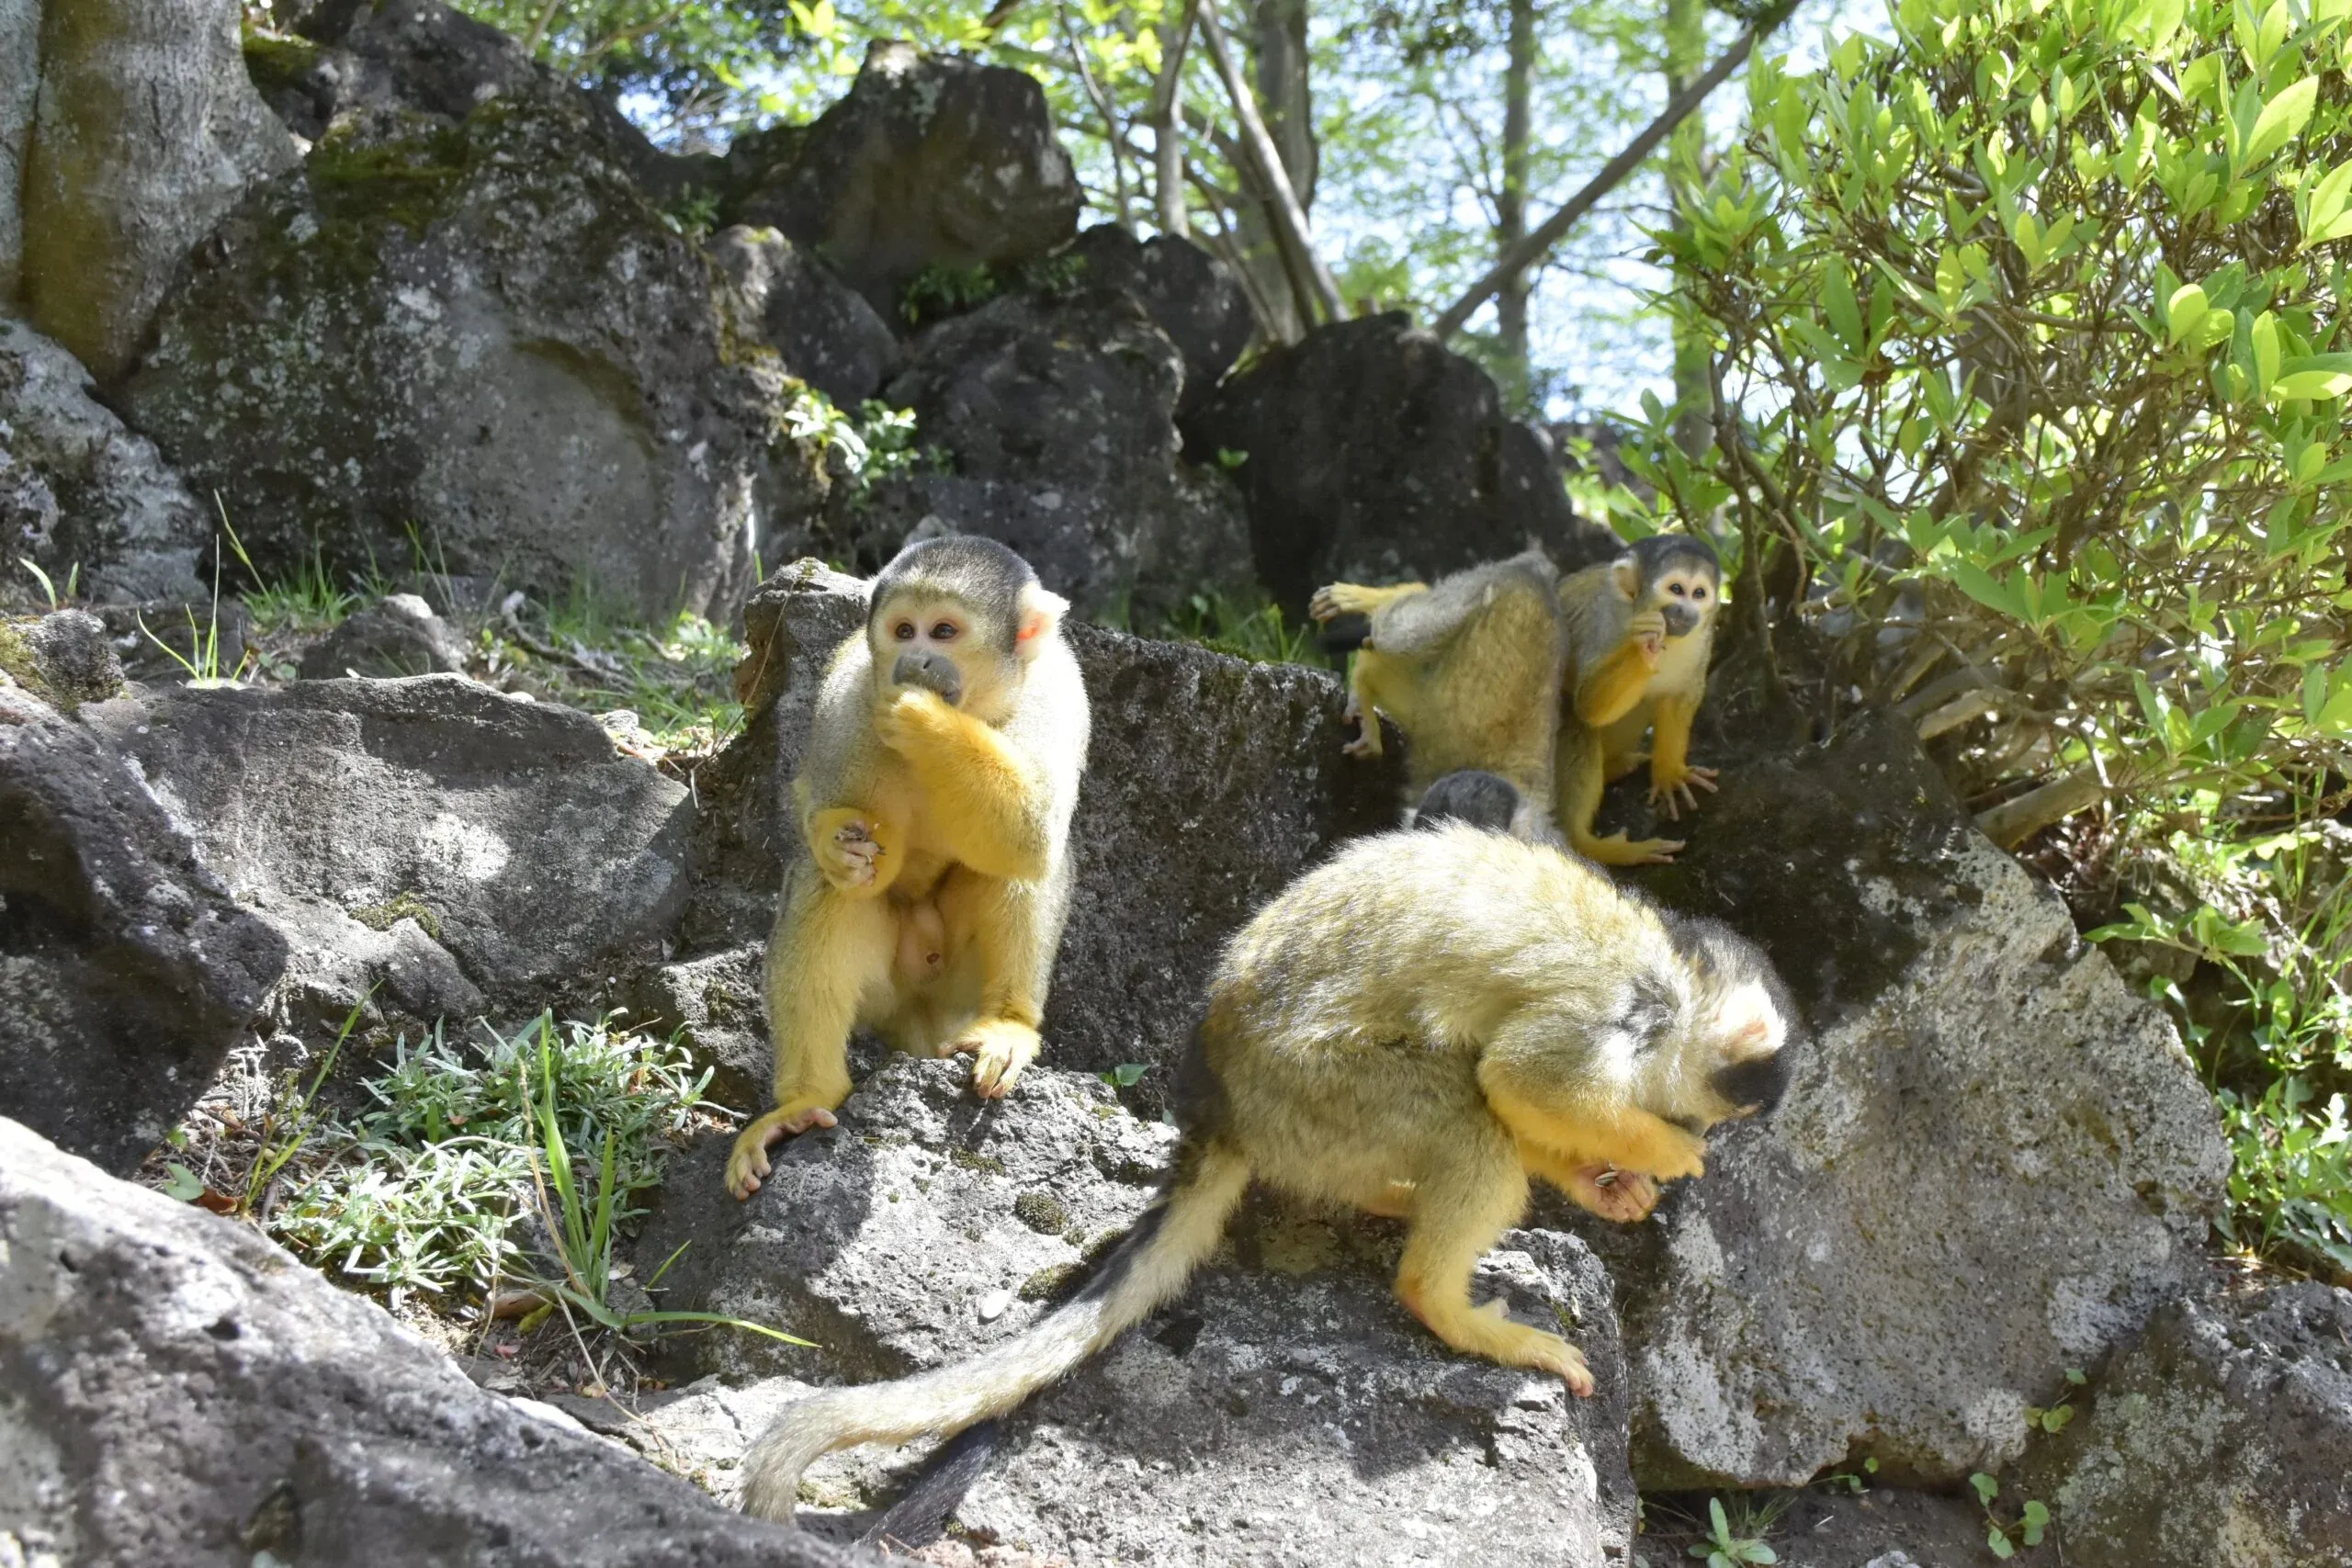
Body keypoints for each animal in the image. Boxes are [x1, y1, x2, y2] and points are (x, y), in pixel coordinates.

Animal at [724, 536, 1091, 1203]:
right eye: (903, 630)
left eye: (943, 631)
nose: (915, 661)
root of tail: (922, 1024)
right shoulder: (852, 688)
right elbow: (816, 803)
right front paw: (838, 843)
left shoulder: (1057, 688)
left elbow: (1032, 832)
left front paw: (926, 722)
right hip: (887, 991)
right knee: (825, 888)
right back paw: (805, 1100)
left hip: (958, 993)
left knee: (1020, 863)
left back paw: (1008, 1022)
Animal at [738, 827, 1796, 1523]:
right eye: (1709, 1113)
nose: (1691, 1128)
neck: (1675, 982)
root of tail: (1223, 1107)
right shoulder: (1616, 1013)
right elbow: (1520, 1080)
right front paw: (1657, 1156)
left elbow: (1530, 1103)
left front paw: (1608, 1183)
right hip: (1316, 1086)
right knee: (1470, 1117)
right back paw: (1441, 1297)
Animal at [1561, 533, 1731, 864]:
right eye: (1676, 590)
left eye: (1698, 594)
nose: (1685, 611)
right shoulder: (1604, 621)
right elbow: (1588, 705)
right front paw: (1645, 644)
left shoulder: (1704, 637)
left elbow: (1678, 697)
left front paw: (1670, 774)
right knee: (1574, 719)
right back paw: (1590, 845)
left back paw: (1615, 766)